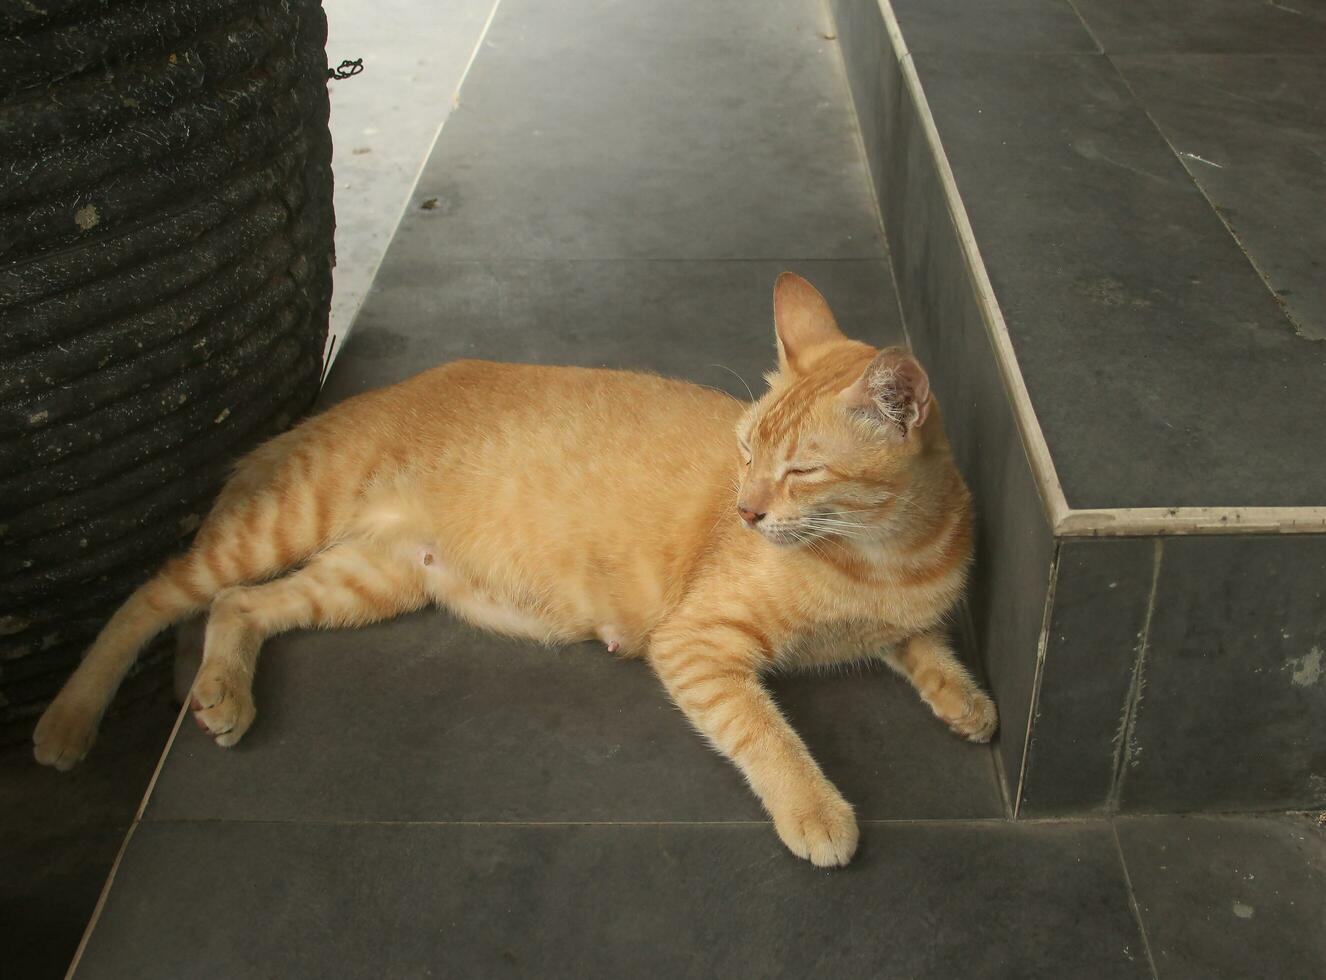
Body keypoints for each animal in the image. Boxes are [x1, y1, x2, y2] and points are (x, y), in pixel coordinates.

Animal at [33, 274, 997, 864]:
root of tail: (361, 398)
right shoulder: (695, 646)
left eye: (799, 470)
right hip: (285, 521)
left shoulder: (900, 614)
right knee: (151, 595)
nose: (745, 513)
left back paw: (223, 689)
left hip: (367, 584)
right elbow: (766, 732)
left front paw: (965, 697)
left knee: (238, 604)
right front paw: (814, 809)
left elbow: (923, 644)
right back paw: (70, 718)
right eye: (744, 451)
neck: (879, 562)